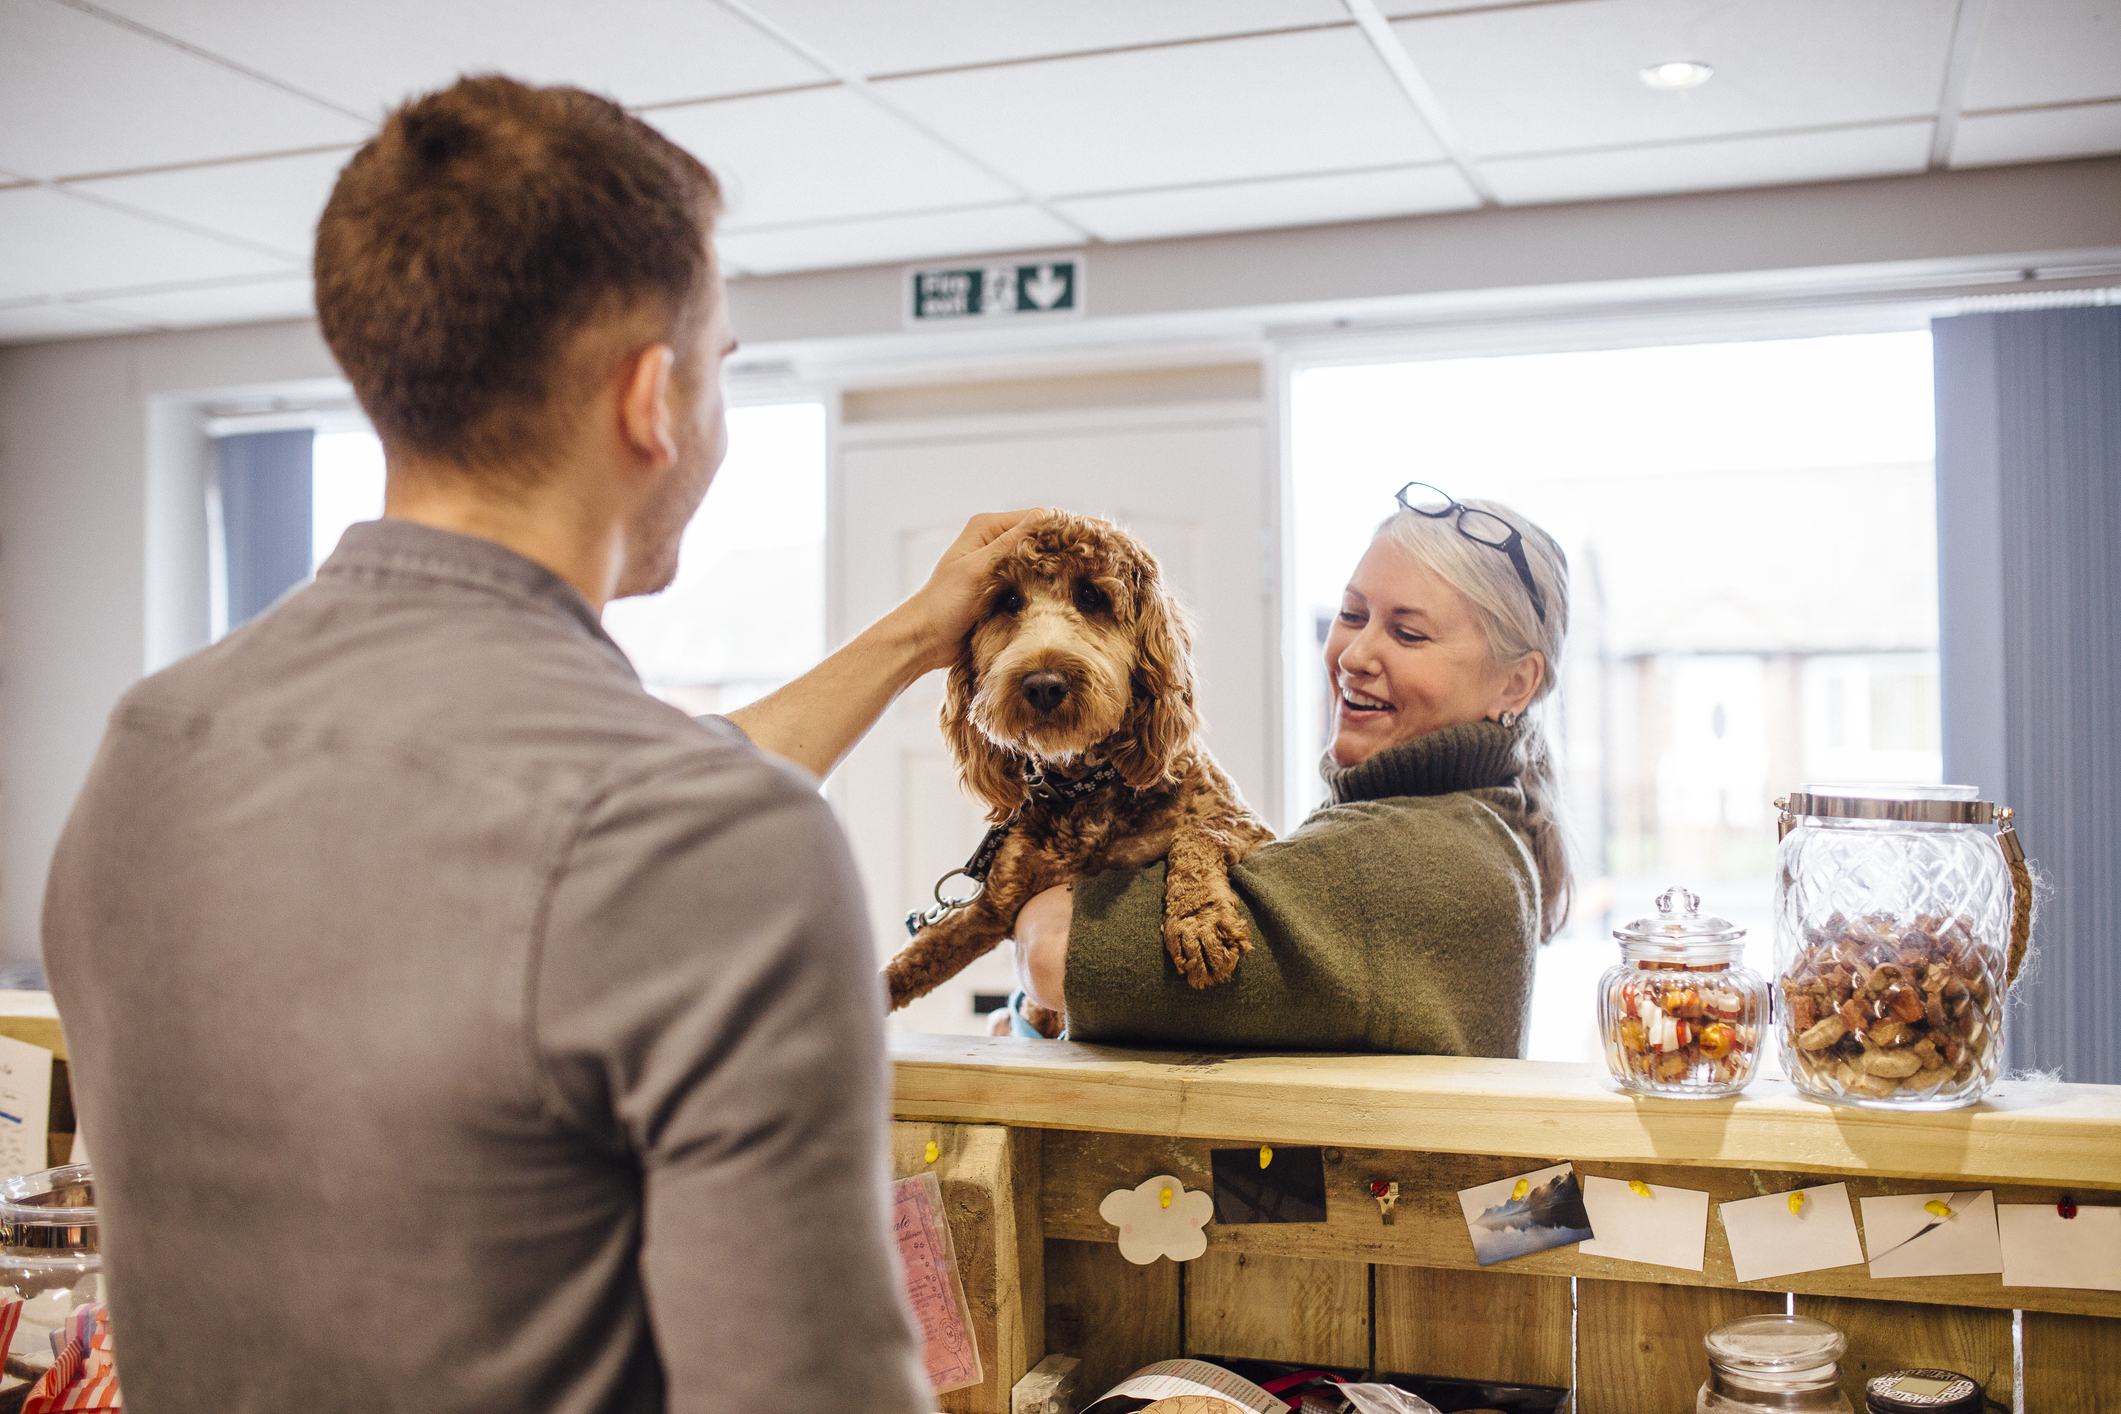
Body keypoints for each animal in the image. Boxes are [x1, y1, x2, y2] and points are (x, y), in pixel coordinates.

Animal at [882, 508, 1264, 1030]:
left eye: (1092, 596)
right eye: (1007, 601)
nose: (1043, 684)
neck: (1082, 784)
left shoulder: (1247, 826)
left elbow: (1197, 834)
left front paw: (1198, 921)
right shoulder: (993, 908)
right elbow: (913, 960)